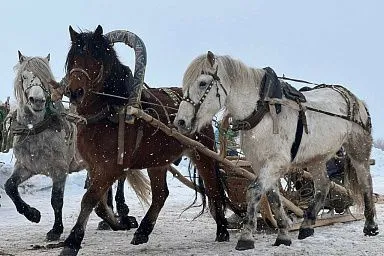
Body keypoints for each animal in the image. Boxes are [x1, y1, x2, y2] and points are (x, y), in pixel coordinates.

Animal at [57, 25, 228, 255]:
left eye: (95, 59)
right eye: (73, 59)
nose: (75, 92)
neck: (109, 111)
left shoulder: (111, 167)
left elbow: (90, 199)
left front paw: (72, 241)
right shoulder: (93, 165)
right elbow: (99, 204)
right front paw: (120, 222)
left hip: (203, 153)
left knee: (213, 189)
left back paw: (222, 229)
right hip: (157, 160)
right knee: (161, 194)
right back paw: (144, 230)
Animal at [175, 51, 378, 250]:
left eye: (202, 83)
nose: (180, 122)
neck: (263, 110)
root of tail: (355, 99)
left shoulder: (276, 161)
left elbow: (255, 191)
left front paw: (246, 237)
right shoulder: (260, 163)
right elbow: (273, 197)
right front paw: (283, 235)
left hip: (358, 148)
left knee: (365, 181)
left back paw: (370, 226)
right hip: (317, 157)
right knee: (323, 185)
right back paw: (307, 225)